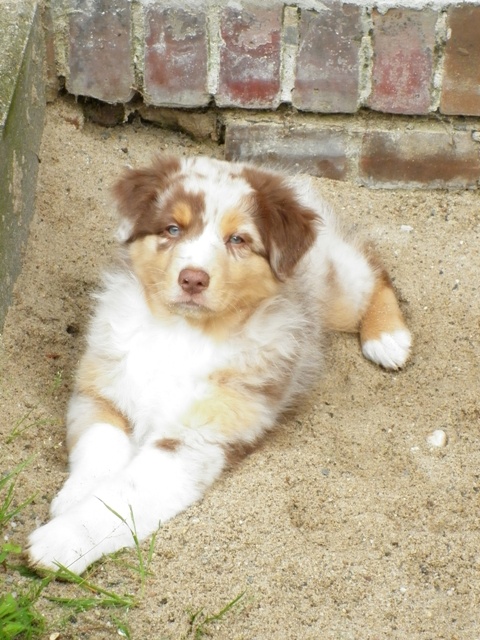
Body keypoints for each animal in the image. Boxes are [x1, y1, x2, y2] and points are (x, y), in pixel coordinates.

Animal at [28, 155, 411, 574]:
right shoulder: (101, 390)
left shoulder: (193, 441)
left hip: (337, 289)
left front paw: (59, 543)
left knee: (375, 270)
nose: (192, 279)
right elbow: (100, 448)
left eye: (237, 240)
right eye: (173, 229)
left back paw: (388, 338)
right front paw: (73, 497)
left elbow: (119, 499)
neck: (180, 334)